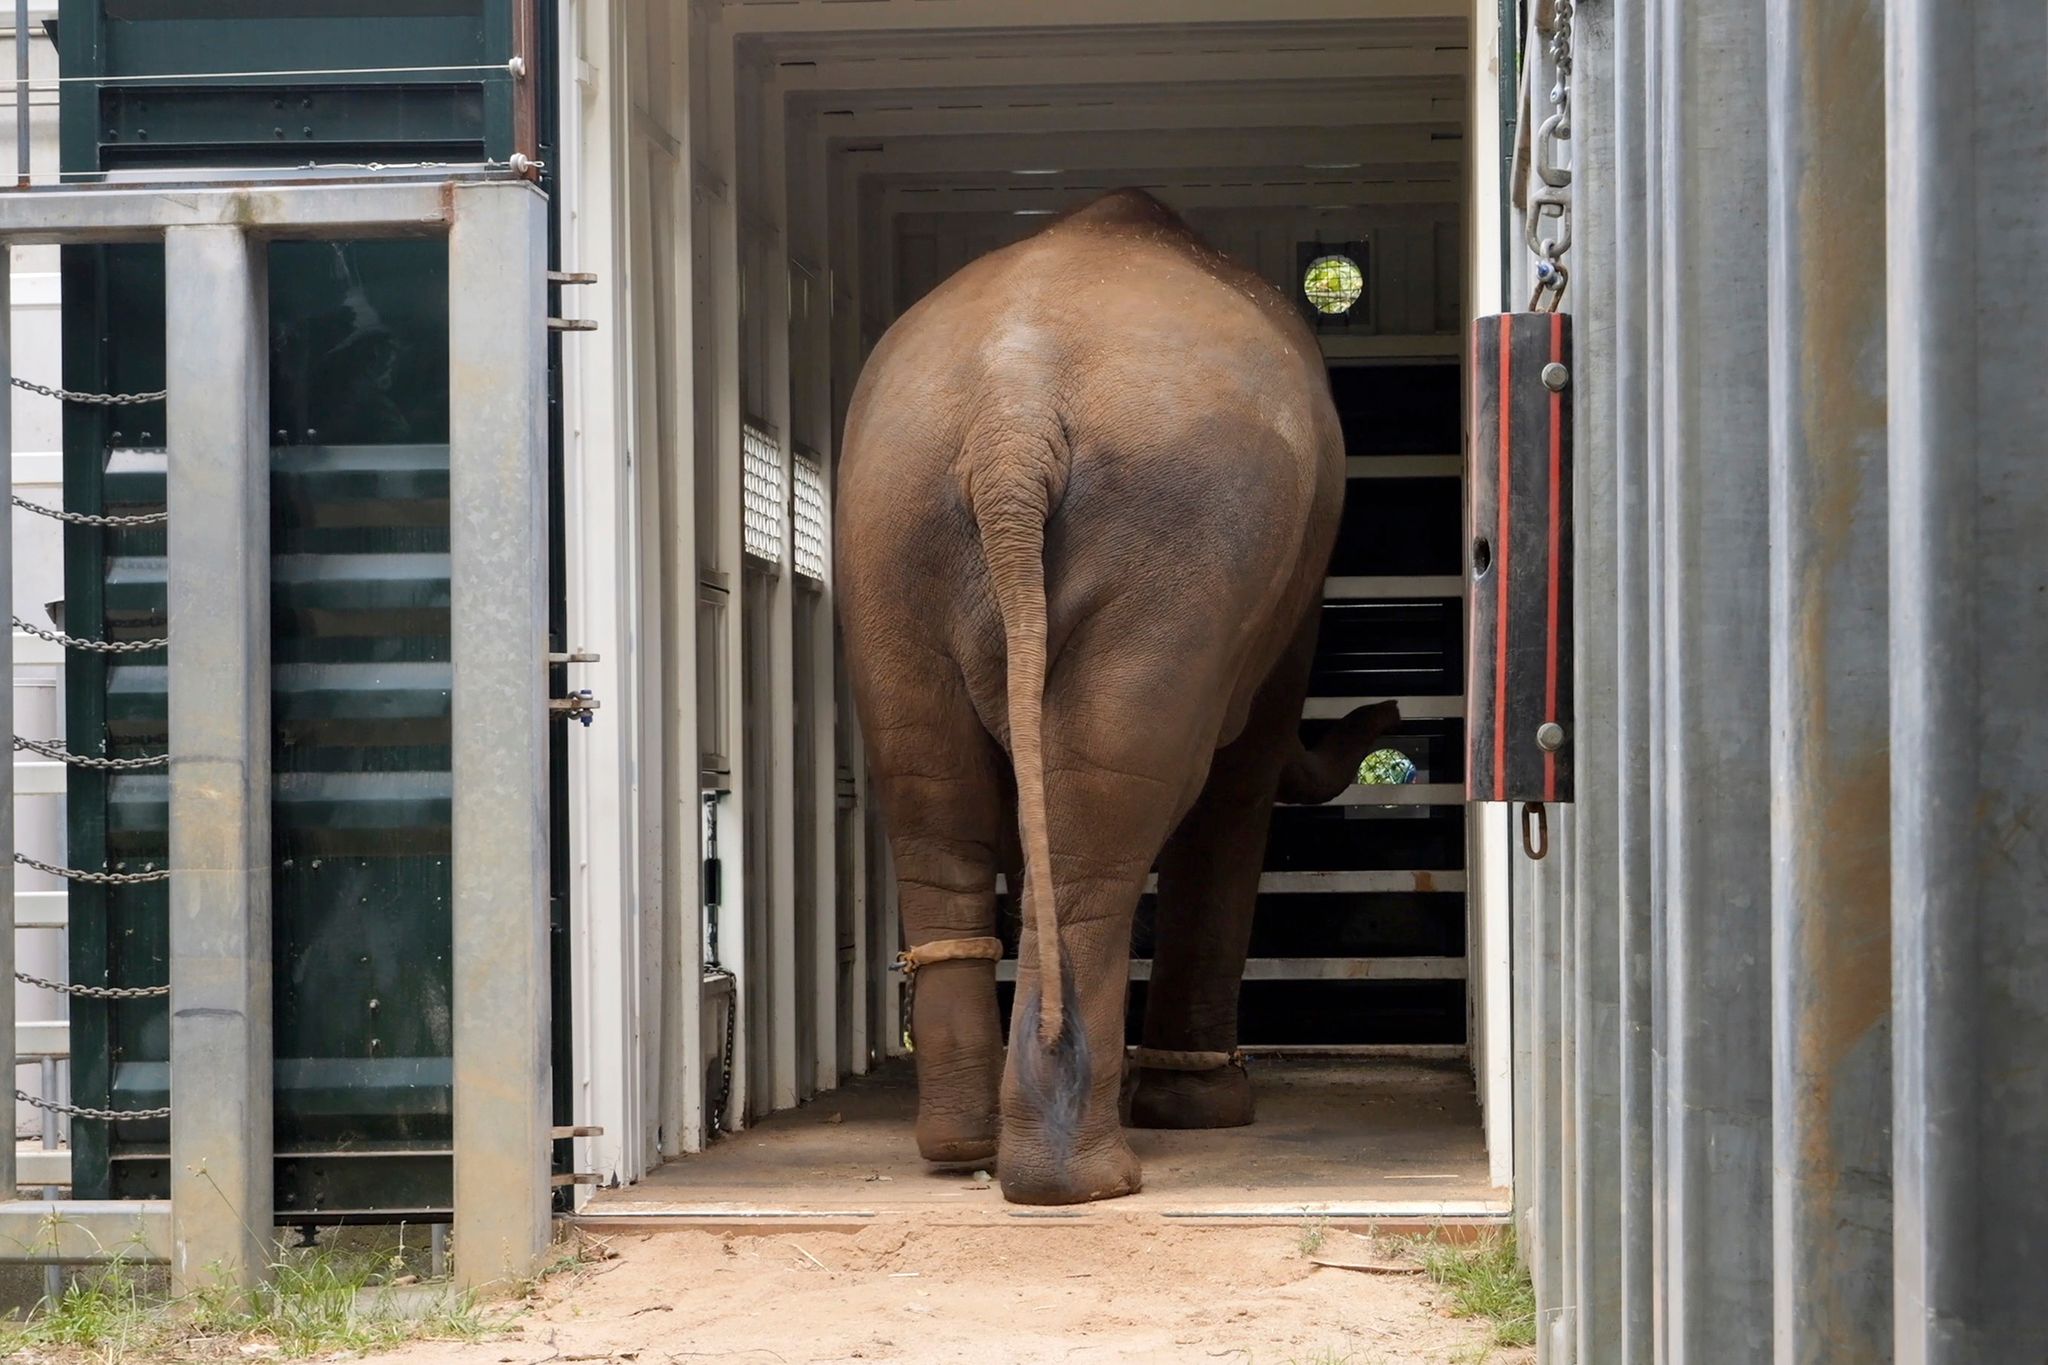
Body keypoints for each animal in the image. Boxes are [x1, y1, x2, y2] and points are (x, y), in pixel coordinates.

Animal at [839, 187, 1400, 1203]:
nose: (1390, 718)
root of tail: (1012, 414)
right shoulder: (1285, 603)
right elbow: (1238, 784)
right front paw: (1210, 1111)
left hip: (892, 528)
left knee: (934, 796)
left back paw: (963, 1150)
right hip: (1173, 538)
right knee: (1107, 805)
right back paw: (1083, 1178)